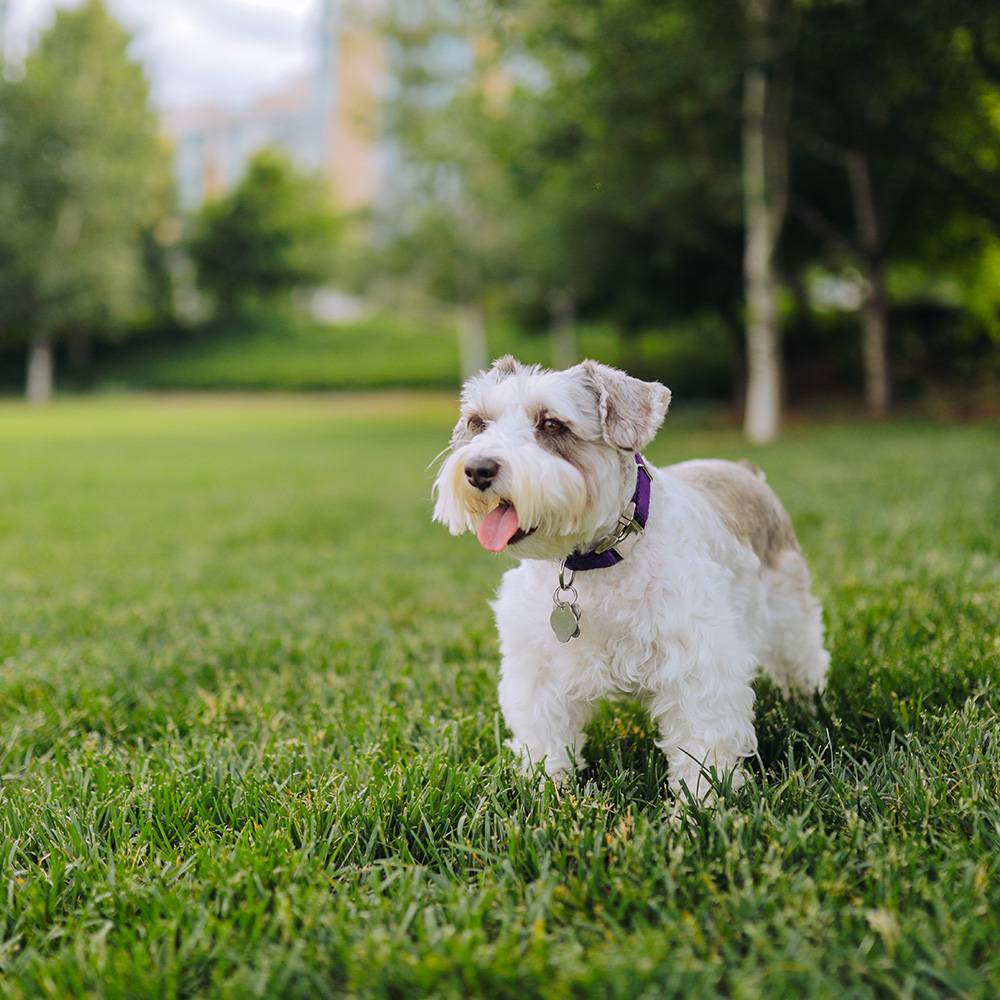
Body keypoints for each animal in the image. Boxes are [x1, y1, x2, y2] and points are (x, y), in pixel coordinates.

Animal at [430, 356, 828, 800]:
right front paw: (546, 787)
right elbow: (545, 738)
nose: (477, 469)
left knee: (803, 660)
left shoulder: (699, 667)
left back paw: (808, 704)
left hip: (789, 617)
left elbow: (702, 747)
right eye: (478, 422)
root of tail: (745, 472)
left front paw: (700, 804)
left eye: (552, 424)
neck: (595, 561)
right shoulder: (537, 668)